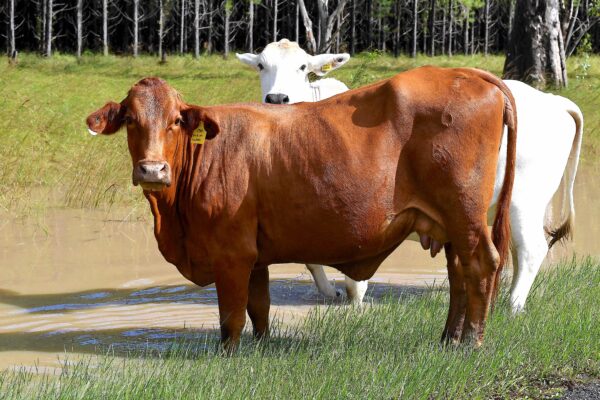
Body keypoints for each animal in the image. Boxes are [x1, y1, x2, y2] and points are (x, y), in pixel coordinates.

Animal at [86, 67, 516, 352]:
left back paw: (471, 344)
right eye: (130, 119)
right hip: (450, 223)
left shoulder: (231, 254)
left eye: (176, 121)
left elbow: (231, 317)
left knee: (481, 266)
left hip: (465, 215)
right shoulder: (254, 256)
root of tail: (465, 72)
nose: (152, 170)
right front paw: (260, 349)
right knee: (459, 273)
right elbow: (258, 309)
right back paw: (447, 340)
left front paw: (228, 355)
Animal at [237, 38, 584, 312]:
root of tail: (553, 101)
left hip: (524, 200)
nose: (277, 98)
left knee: (531, 249)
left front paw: (355, 298)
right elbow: (312, 259)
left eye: (302, 66)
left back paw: (512, 306)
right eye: (261, 65)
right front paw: (331, 291)